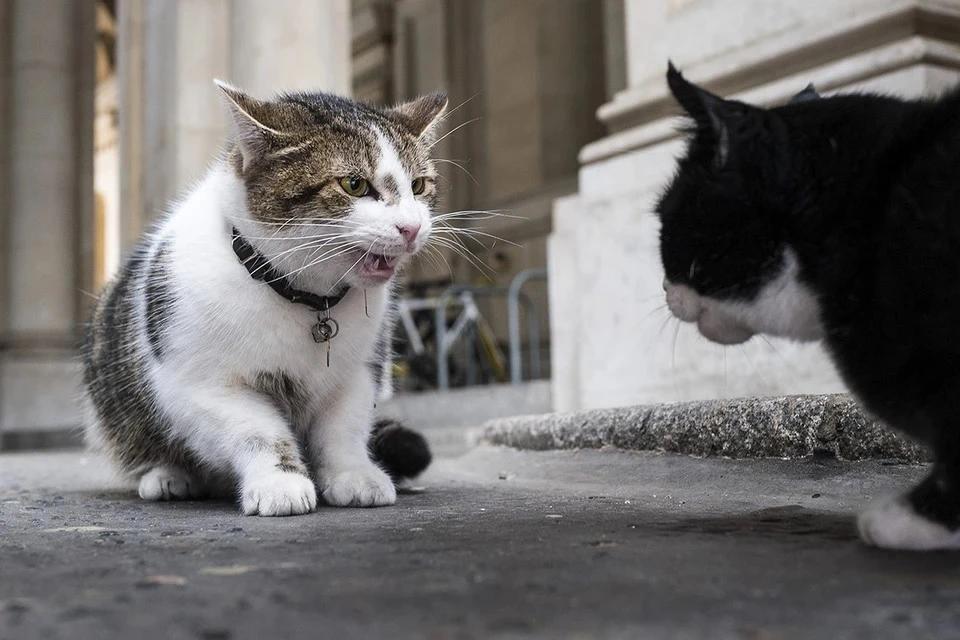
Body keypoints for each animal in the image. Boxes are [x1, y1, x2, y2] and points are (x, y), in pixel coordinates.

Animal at [81, 82, 442, 516]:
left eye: (419, 186)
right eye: (354, 185)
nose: (411, 227)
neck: (306, 299)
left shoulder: (359, 372)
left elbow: (343, 429)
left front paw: (353, 474)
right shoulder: (203, 385)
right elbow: (258, 432)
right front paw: (279, 482)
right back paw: (169, 476)